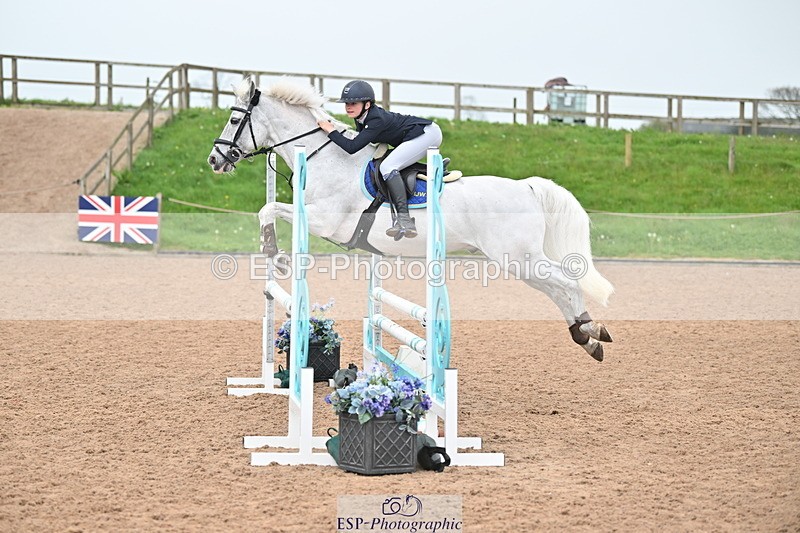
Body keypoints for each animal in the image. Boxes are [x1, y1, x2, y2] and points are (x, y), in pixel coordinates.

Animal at [207, 77, 614, 361]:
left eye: (233, 118)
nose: (214, 159)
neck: (327, 157)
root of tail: (527, 187)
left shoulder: (324, 221)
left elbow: (269, 209)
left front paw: (274, 253)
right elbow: (269, 209)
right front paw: (273, 253)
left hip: (518, 258)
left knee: (566, 282)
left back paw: (592, 330)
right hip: (520, 261)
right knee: (558, 288)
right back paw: (586, 335)